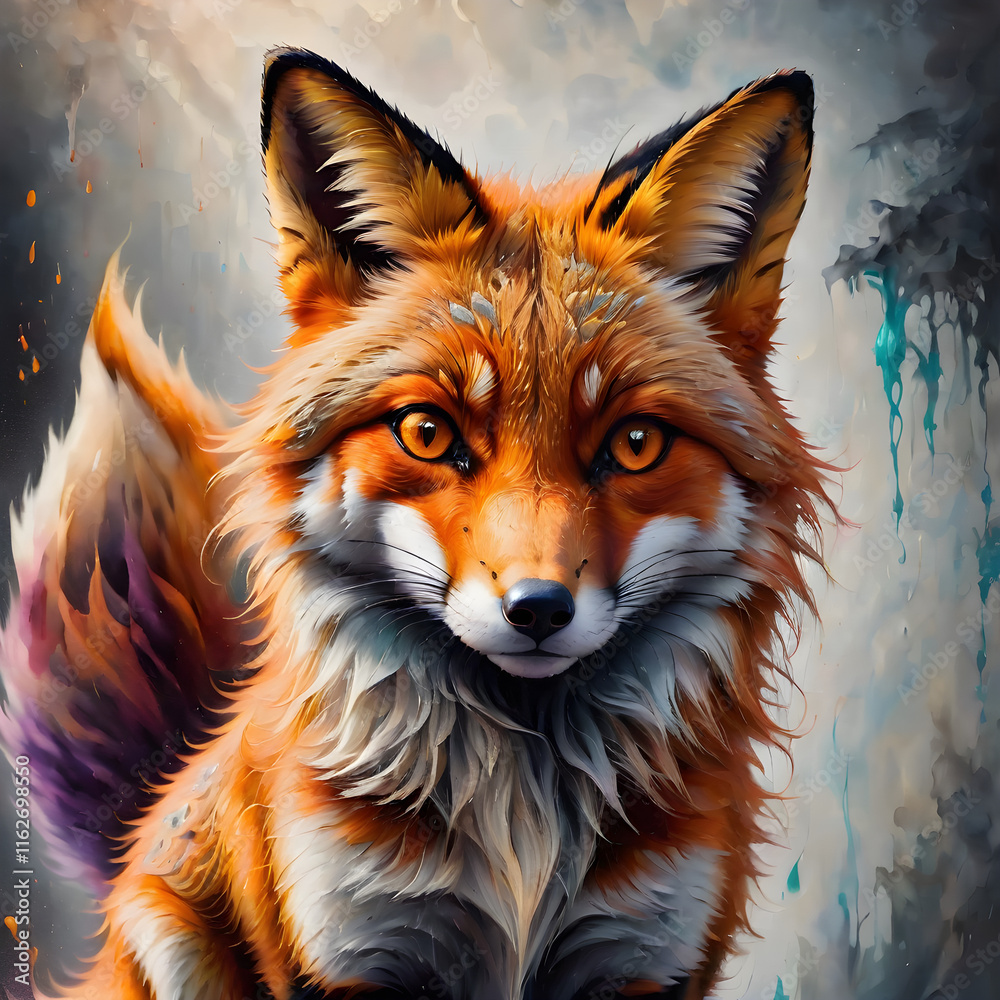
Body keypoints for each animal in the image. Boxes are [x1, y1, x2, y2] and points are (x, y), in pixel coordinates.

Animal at [1, 49, 831, 1000]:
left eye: (634, 444)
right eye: (428, 434)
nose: (538, 609)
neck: (523, 827)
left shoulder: (643, 958)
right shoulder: (354, 951)